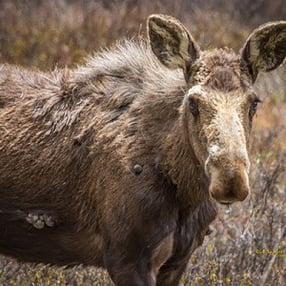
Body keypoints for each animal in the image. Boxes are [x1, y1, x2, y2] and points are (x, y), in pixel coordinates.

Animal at [0, 15, 284, 286]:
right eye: (192, 102)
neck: (185, 191)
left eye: (254, 102)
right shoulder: (127, 256)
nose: (230, 179)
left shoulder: (177, 261)